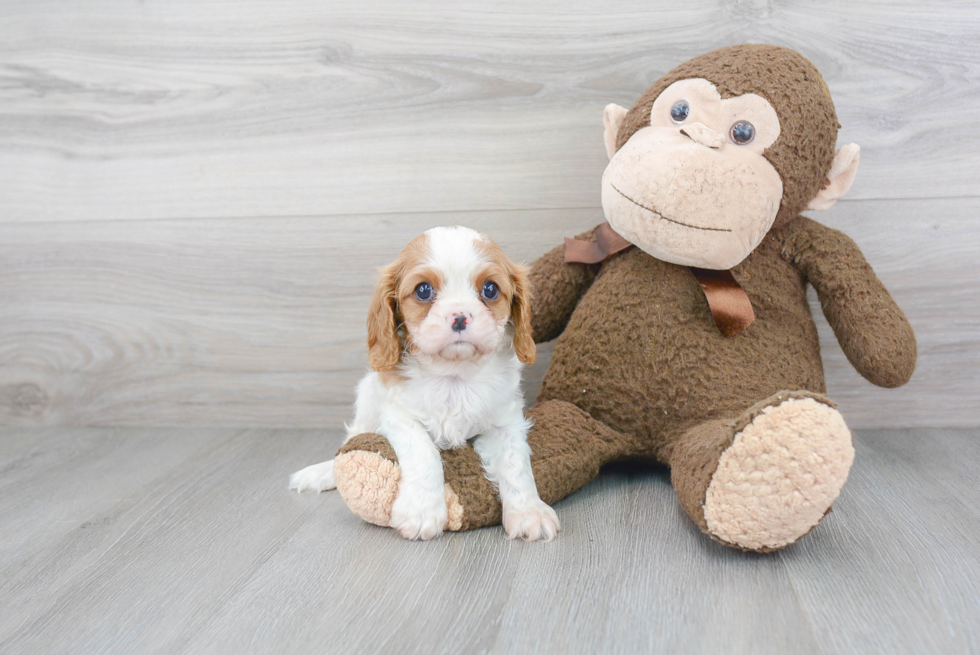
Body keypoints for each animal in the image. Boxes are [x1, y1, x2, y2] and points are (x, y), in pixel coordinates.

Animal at [290, 226, 560, 544]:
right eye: (423, 290)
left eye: (490, 289)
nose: (459, 317)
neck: (454, 376)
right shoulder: (398, 415)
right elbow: (423, 452)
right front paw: (421, 512)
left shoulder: (506, 420)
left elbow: (515, 463)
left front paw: (530, 512)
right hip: (367, 399)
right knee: (351, 440)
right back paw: (321, 473)